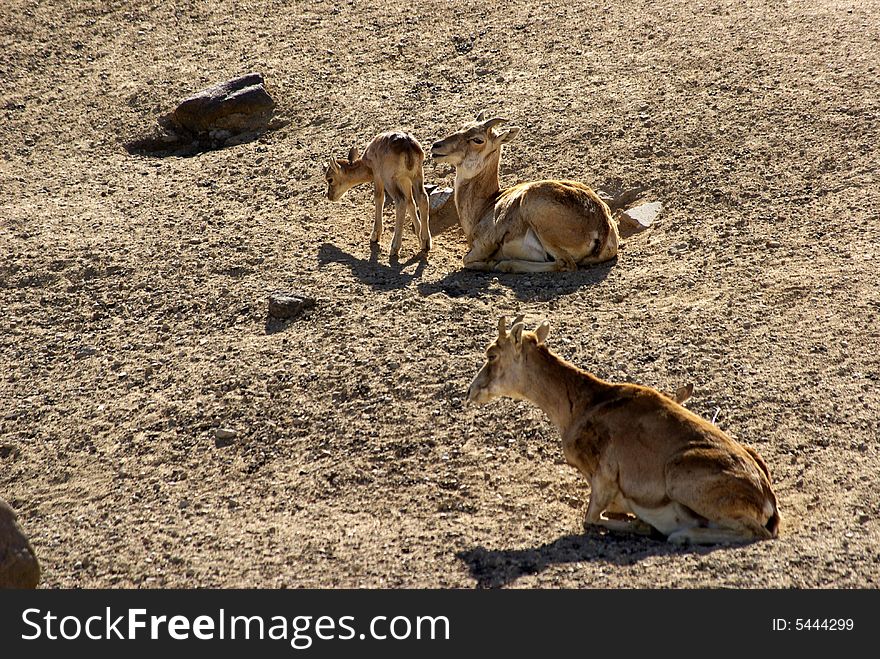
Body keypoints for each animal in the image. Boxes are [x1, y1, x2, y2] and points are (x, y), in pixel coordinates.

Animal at [432, 112, 620, 272]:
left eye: (478, 139)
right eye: (463, 126)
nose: (436, 146)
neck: (487, 205)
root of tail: (602, 225)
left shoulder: (483, 246)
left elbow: (466, 261)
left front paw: (492, 263)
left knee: (564, 264)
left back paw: (505, 265)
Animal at [464, 318, 780, 544]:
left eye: (491, 354)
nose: (471, 392)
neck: (586, 404)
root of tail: (765, 498)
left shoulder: (604, 480)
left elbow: (590, 519)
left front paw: (644, 526)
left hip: (680, 478)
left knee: (755, 532)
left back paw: (682, 535)